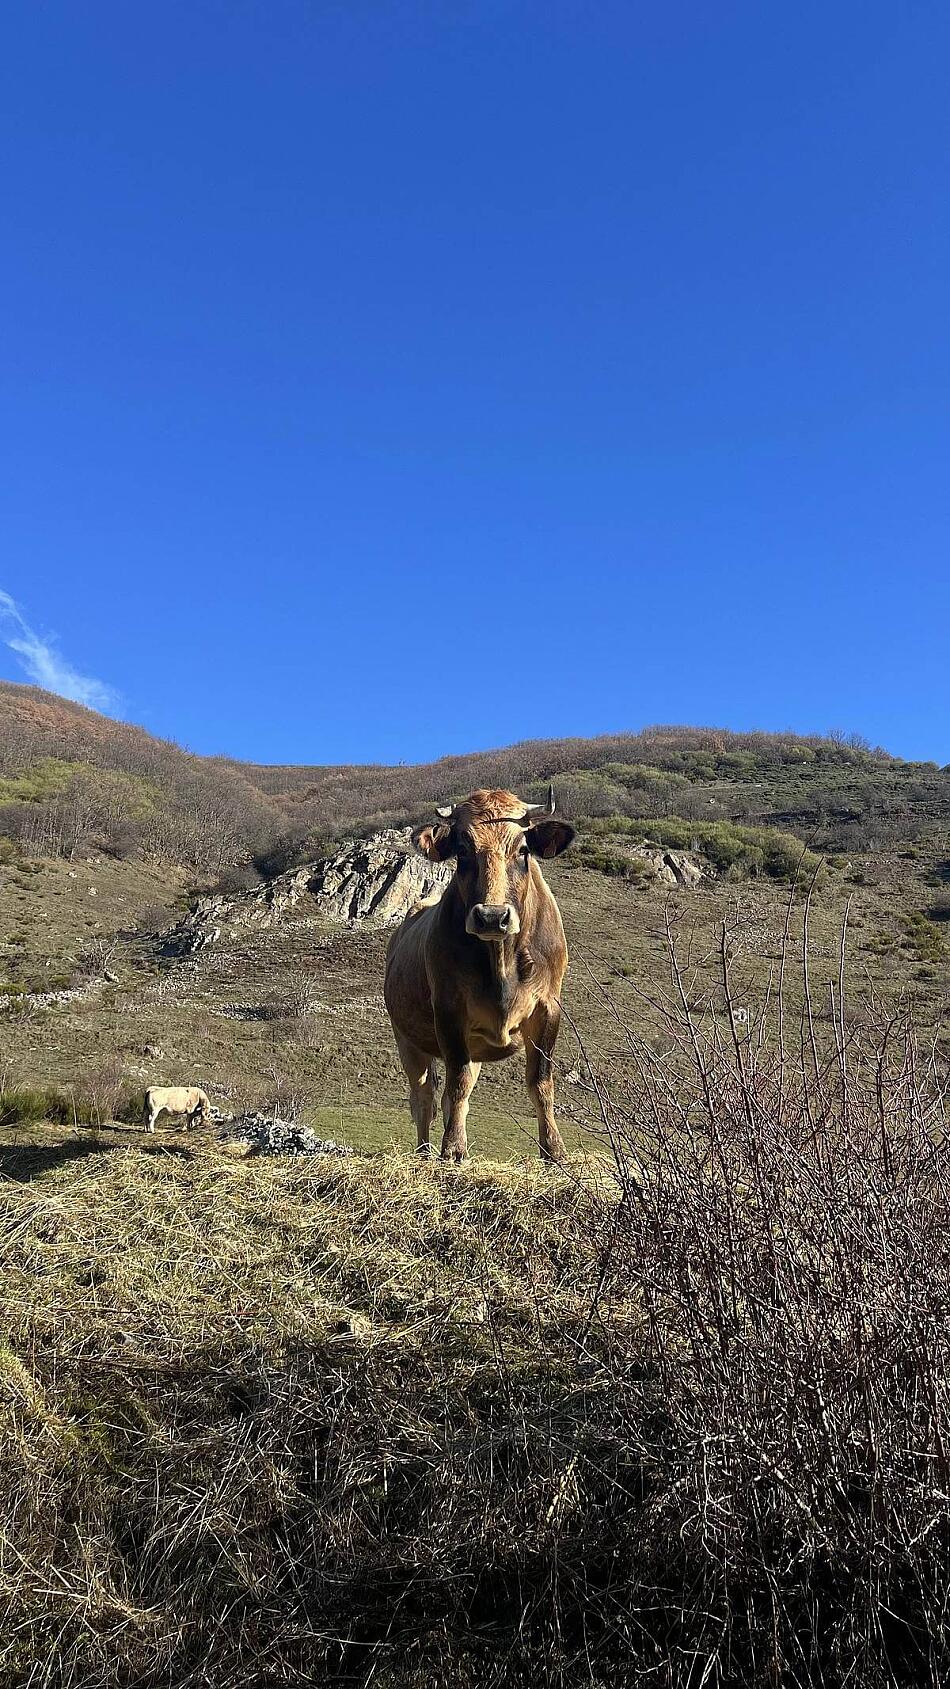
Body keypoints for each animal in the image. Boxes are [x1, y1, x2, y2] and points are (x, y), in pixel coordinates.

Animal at [384, 787, 575, 1164]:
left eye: (523, 849)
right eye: (462, 850)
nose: (491, 917)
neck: (500, 960)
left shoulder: (548, 1008)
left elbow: (541, 1082)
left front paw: (554, 1150)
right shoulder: (449, 1011)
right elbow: (455, 1082)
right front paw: (453, 1149)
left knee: (446, 1097)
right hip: (407, 1039)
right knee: (424, 1097)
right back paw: (425, 1152)